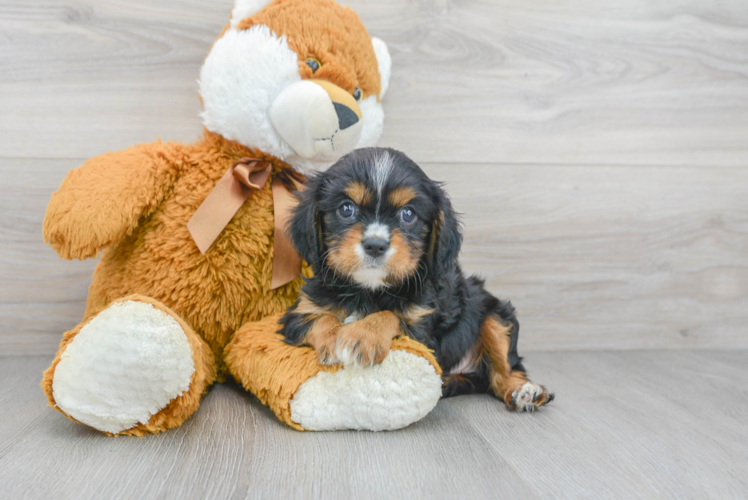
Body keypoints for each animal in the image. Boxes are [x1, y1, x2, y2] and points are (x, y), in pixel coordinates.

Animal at [280, 147, 556, 410]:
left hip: (496, 314)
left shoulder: (423, 326)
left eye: (408, 214)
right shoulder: (299, 312)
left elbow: (390, 315)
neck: (368, 290)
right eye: (346, 209)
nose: (375, 245)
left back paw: (526, 392)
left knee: (505, 370)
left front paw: (363, 336)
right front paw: (333, 337)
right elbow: (319, 318)